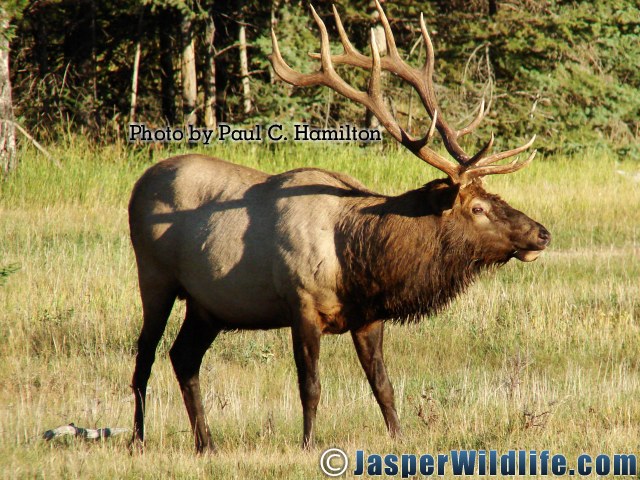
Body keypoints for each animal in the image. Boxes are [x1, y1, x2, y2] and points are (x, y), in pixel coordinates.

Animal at [128, 1, 551, 453]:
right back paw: (138, 439)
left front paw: (399, 437)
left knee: (183, 358)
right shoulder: (302, 305)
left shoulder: (368, 316)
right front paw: (308, 443)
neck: (358, 262)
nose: (542, 232)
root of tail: (138, 185)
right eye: (477, 207)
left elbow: (383, 385)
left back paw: (206, 443)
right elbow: (310, 386)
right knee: (145, 357)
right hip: (154, 277)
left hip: (207, 305)